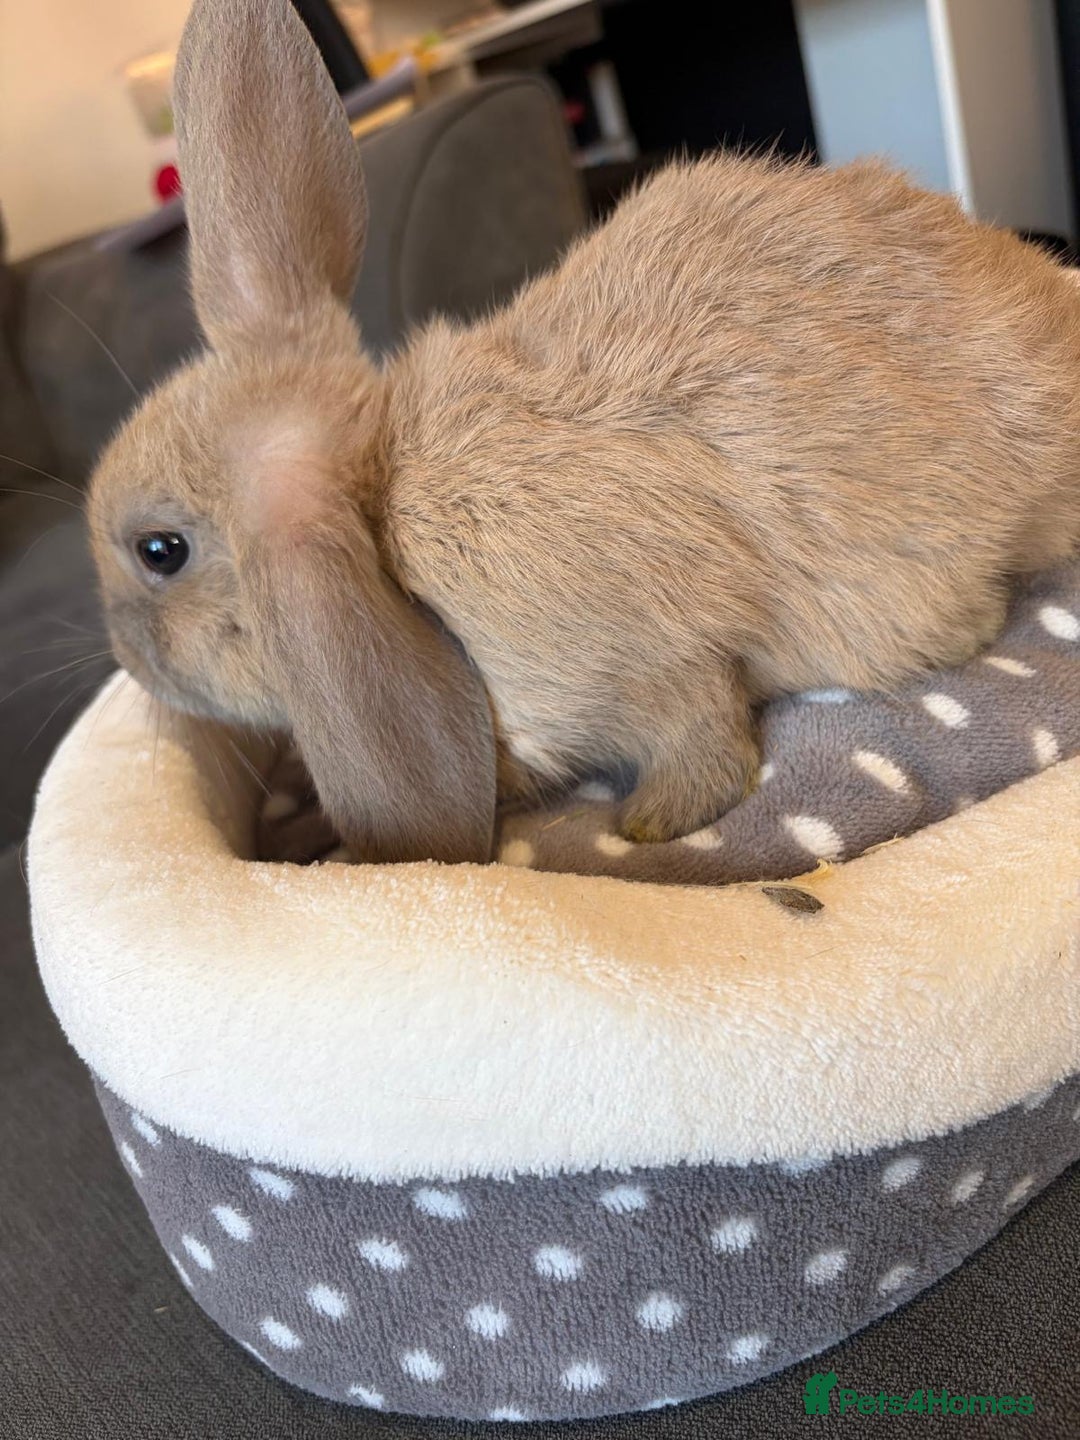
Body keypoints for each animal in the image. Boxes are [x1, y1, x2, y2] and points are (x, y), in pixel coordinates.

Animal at [88, 0, 1080, 867]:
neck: (385, 508)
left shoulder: (652, 659)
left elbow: (698, 740)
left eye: (160, 550)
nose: (127, 659)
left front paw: (653, 824)